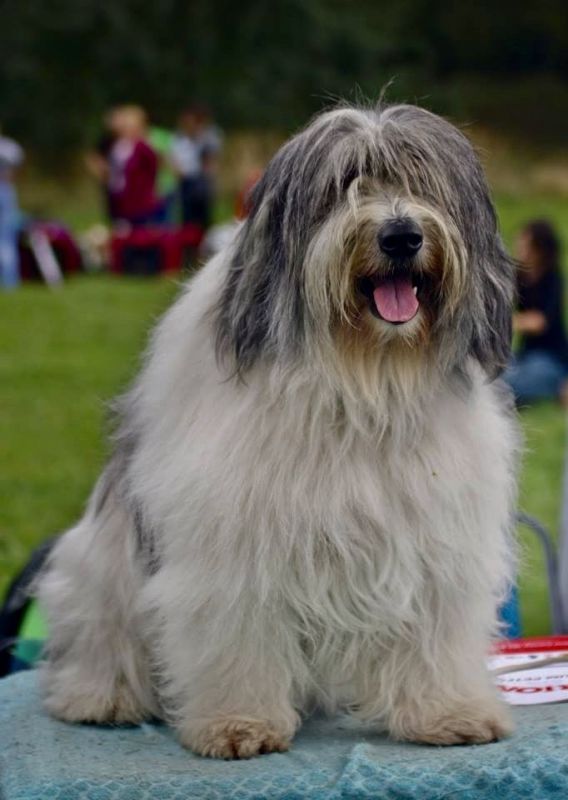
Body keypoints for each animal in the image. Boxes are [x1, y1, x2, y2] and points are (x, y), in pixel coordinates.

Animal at [38, 102, 518, 759]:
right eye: (343, 184)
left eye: (423, 183)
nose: (401, 235)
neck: (361, 380)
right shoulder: (235, 544)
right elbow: (238, 633)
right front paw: (238, 723)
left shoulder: (434, 537)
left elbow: (433, 630)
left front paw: (447, 713)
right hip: (97, 569)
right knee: (99, 639)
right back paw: (102, 698)